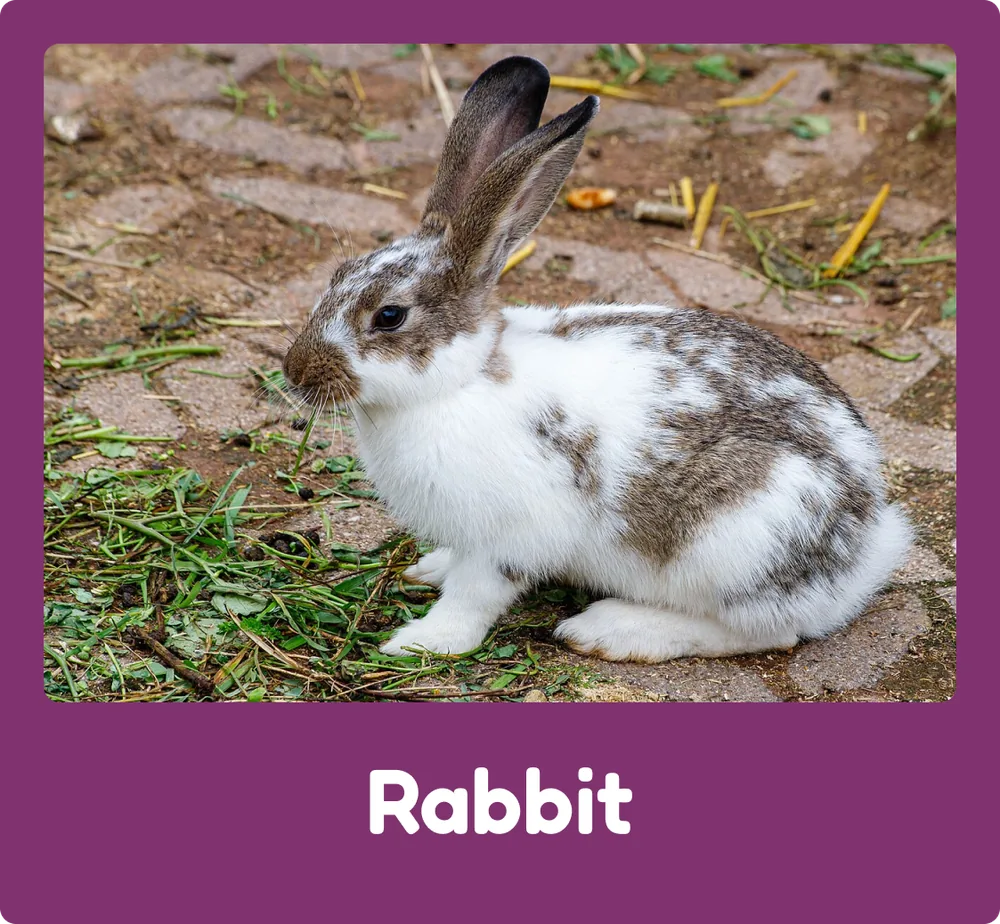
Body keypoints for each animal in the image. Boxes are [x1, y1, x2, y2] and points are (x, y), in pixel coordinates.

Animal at [282, 55, 913, 663]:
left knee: (769, 632)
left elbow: (474, 595)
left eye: (389, 316)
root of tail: (863, 553)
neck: (458, 383)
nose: (295, 374)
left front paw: (423, 642)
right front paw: (430, 568)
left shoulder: (511, 534)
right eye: (337, 275)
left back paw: (611, 630)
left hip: (738, 542)